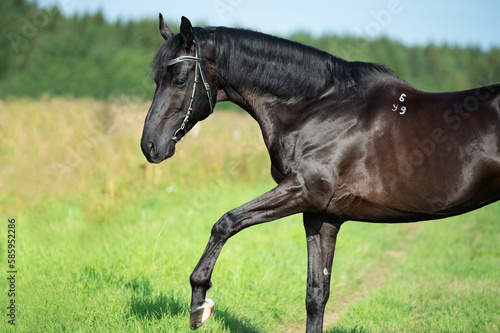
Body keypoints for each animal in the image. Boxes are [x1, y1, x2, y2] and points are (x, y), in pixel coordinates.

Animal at [140, 14, 500, 332]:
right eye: (156, 79)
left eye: (179, 79)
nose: (150, 146)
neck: (318, 109)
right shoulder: (321, 214)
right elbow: (316, 295)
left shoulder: (302, 191)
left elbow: (225, 223)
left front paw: (199, 304)